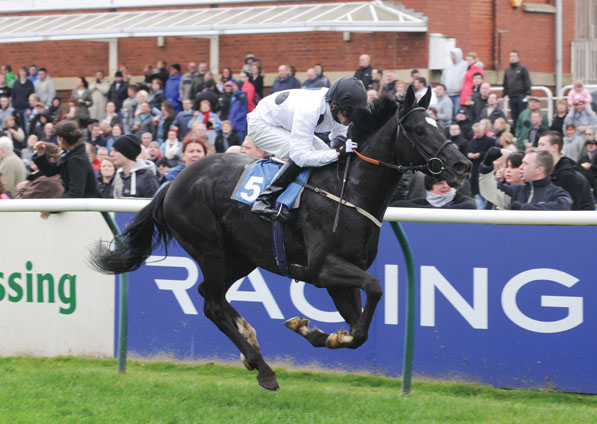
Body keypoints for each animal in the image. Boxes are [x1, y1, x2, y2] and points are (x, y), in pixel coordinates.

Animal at [91, 85, 470, 390]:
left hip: (242, 256)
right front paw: (316, 331)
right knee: (213, 304)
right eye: (419, 130)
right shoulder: (324, 269)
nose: (463, 166)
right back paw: (263, 369)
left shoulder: (343, 276)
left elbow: (358, 332)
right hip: (210, 250)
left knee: (209, 295)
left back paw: (249, 343)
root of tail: (172, 184)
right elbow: (376, 288)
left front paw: (319, 332)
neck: (350, 190)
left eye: (440, 125)